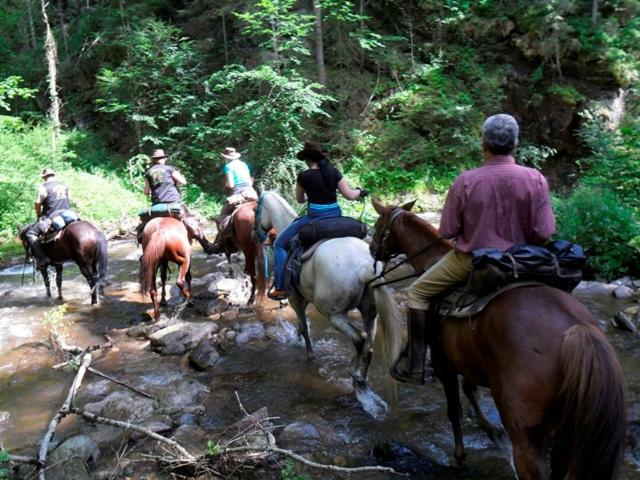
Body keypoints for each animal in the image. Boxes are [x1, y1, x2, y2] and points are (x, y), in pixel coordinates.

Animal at [252, 191, 402, 416]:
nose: (256, 236)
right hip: (370, 313)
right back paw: (361, 380)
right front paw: (297, 339)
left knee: (359, 339)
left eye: (255, 210)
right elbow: (301, 324)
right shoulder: (303, 298)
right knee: (368, 346)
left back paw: (354, 375)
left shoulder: (295, 299)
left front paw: (309, 353)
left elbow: (305, 327)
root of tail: (364, 266)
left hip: (334, 315)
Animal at [370, 200, 624, 480]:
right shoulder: (474, 362)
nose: (371, 249)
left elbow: (454, 410)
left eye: (378, 226)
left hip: (526, 435)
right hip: (567, 435)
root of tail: (576, 330)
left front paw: (459, 457)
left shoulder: (443, 363)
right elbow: (470, 390)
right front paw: (493, 432)